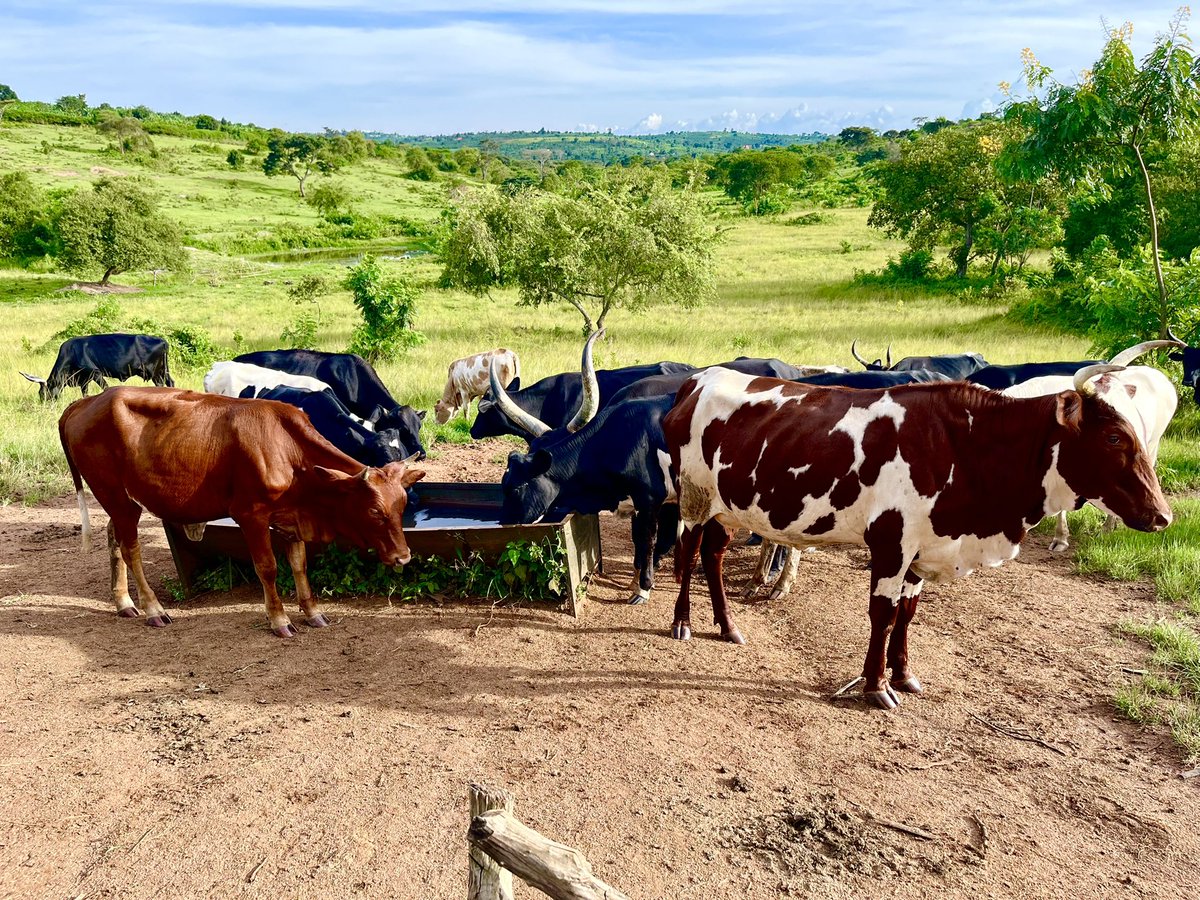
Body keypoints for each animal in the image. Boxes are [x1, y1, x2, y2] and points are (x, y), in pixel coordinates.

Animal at [21, 333, 173, 402]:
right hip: (163, 371)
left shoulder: (95, 373)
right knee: (170, 382)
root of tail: (163, 341)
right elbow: (85, 393)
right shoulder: (84, 380)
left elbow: (105, 388)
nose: (43, 405)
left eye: (43, 394)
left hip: (155, 373)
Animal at [664, 365, 1171, 709]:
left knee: (713, 554)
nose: (1163, 515)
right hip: (694, 496)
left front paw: (903, 673)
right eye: (1114, 438)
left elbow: (907, 614)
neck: (963, 445)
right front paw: (875, 686)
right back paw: (682, 621)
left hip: (726, 506)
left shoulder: (924, 549)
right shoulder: (892, 543)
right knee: (689, 552)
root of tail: (699, 378)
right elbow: (883, 614)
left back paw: (727, 625)